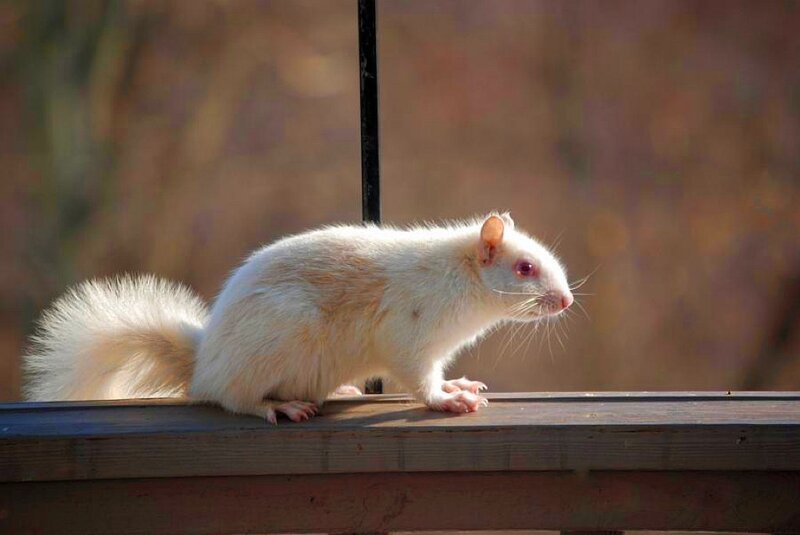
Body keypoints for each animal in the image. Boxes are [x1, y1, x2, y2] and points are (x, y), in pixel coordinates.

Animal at [23, 213, 573, 423]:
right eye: (525, 268)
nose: (566, 301)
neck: (457, 278)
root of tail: (204, 364)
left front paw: (459, 384)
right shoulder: (408, 331)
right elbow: (417, 379)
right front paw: (448, 398)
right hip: (275, 341)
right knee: (232, 399)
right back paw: (279, 406)